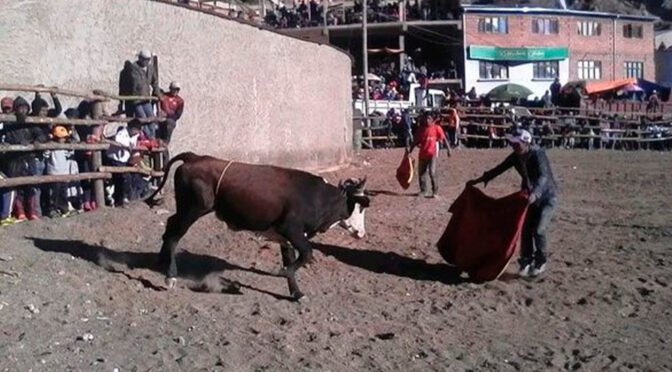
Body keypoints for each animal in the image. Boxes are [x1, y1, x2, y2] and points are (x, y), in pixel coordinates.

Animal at [144, 153, 370, 300]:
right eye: (359, 207)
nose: (361, 233)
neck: (318, 198)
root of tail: (194, 157)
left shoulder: (286, 238)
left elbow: (292, 259)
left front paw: (296, 293)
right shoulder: (291, 230)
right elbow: (306, 254)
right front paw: (282, 273)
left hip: (186, 209)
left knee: (170, 227)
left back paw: (161, 260)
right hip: (193, 209)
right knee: (174, 236)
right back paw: (170, 276)